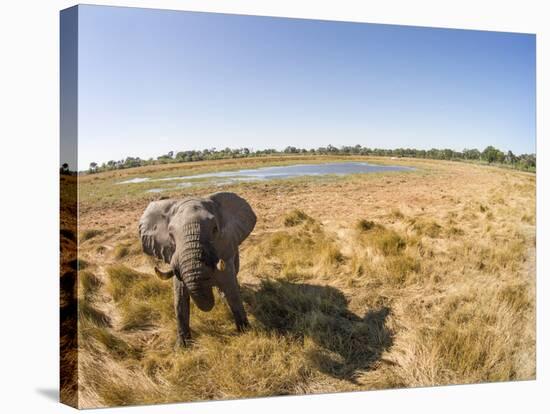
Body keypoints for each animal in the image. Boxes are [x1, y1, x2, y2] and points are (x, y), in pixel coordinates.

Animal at [139, 192, 258, 346]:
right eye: (170, 235)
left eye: (215, 229)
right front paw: (182, 346)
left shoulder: (225, 250)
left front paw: (245, 332)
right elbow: (180, 299)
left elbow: (232, 291)